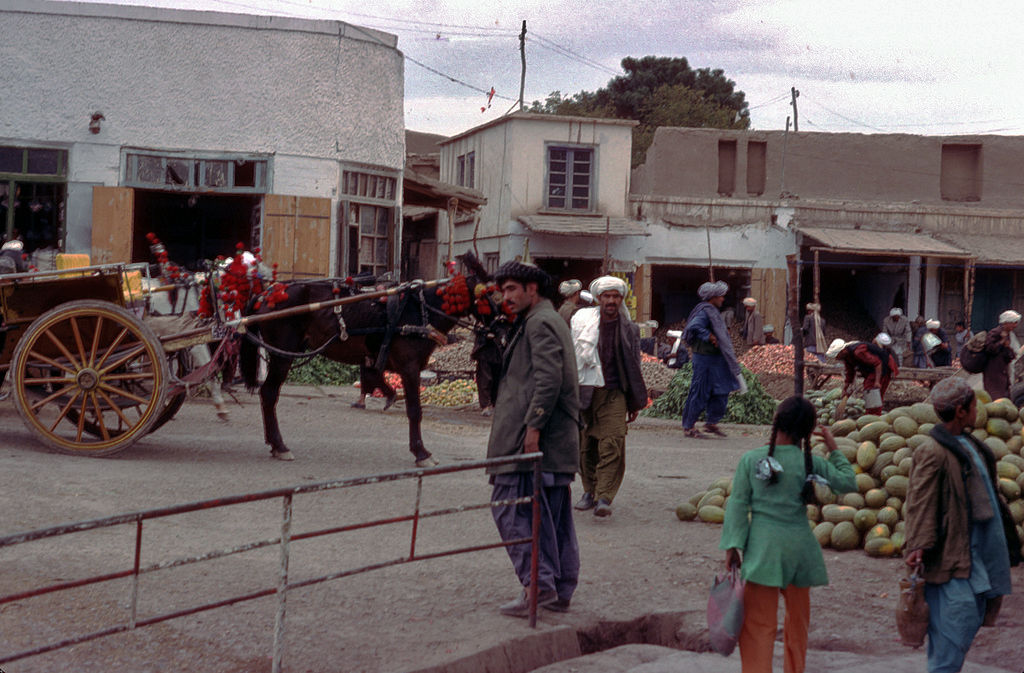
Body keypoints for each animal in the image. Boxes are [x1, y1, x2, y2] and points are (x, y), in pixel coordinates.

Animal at [239, 255, 495, 465]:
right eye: (487, 293)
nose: (499, 324)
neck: (418, 311)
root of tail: (265, 294)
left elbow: (377, 379)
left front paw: (390, 397)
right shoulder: (409, 368)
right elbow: (414, 410)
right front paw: (421, 452)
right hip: (282, 354)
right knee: (269, 393)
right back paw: (279, 445)